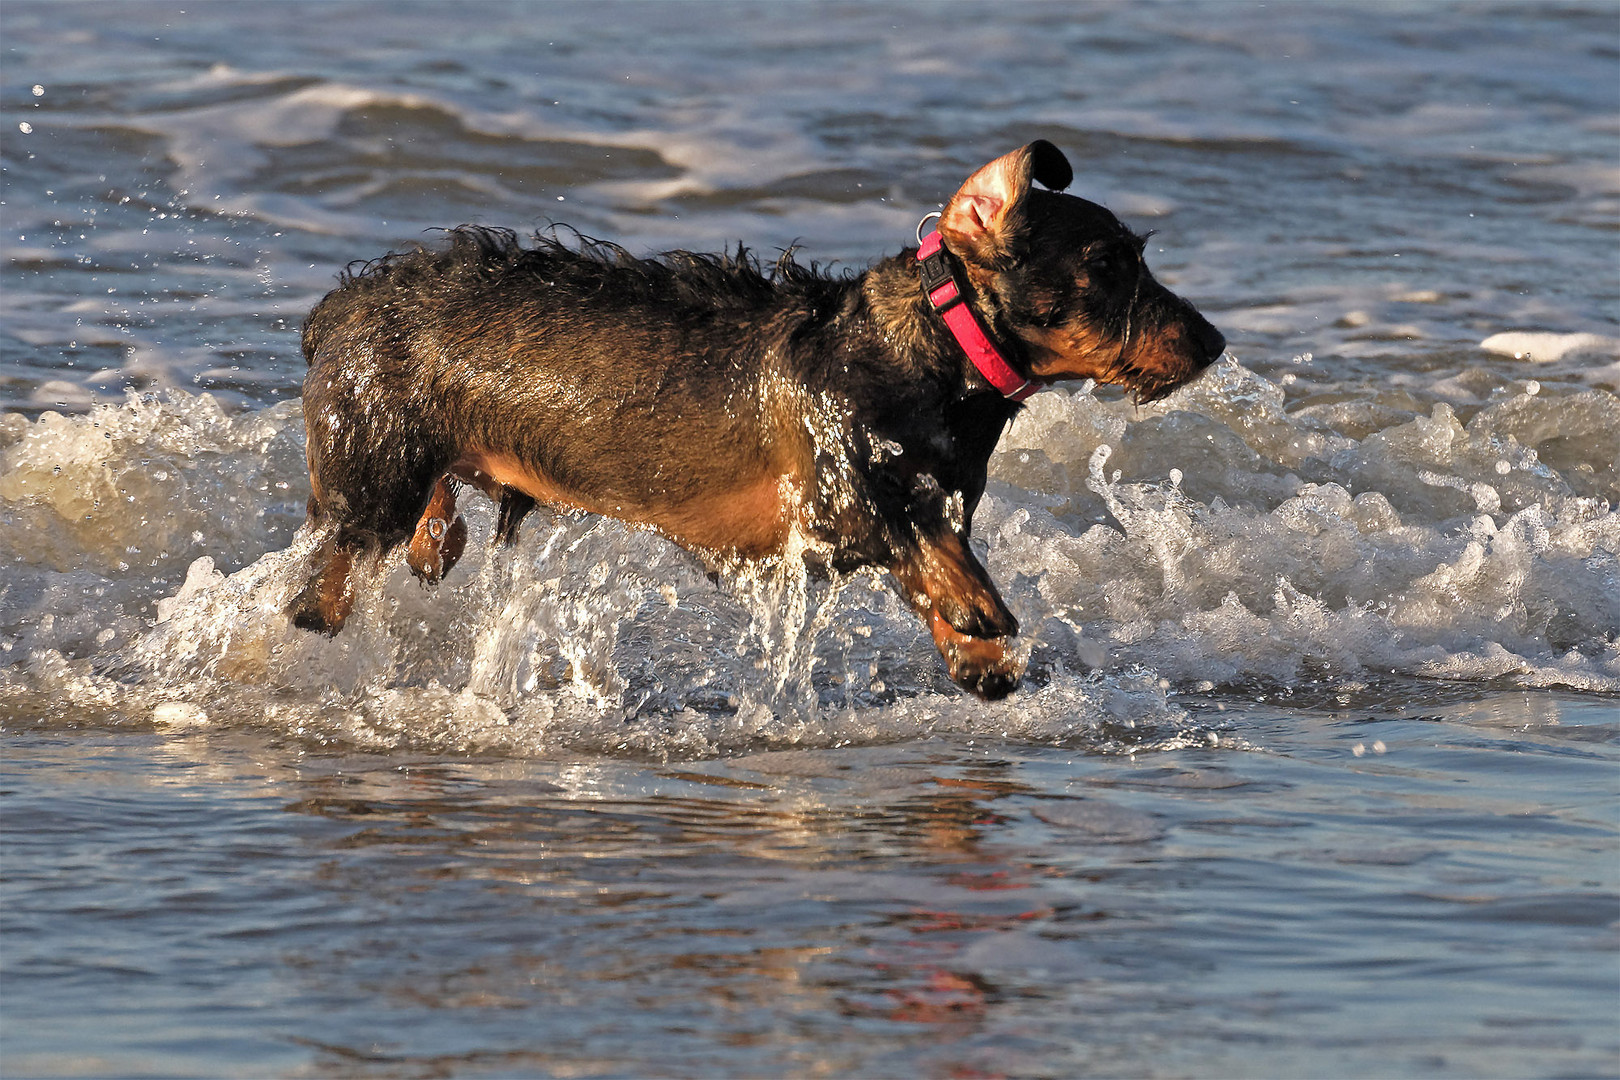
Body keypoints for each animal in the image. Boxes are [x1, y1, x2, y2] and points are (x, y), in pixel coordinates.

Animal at [294, 141, 1224, 702]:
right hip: (367, 482)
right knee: (325, 589)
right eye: (1106, 263)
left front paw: (978, 655)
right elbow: (919, 532)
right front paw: (980, 610)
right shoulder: (837, 490)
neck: (924, 352)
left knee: (420, 531)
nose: (1214, 342)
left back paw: (435, 535)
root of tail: (341, 309)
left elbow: (931, 552)